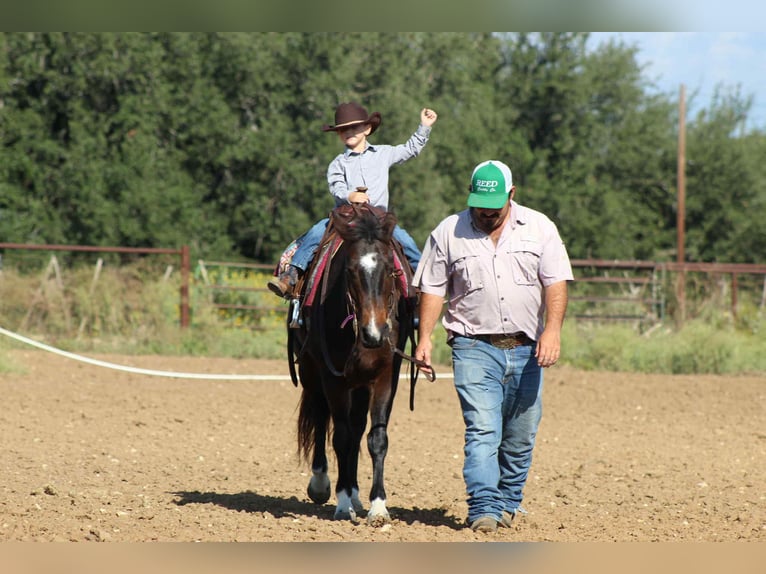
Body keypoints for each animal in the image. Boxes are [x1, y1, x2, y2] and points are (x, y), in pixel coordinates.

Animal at [286, 203, 416, 526]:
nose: (374, 333)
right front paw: (343, 503)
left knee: (357, 428)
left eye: (391, 270)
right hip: (311, 373)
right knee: (322, 419)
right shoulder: (333, 378)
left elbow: (376, 438)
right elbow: (341, 437)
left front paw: (378, 506)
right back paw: (322, 485)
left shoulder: (385, 376)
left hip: (360, 384)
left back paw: (357, 495)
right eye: (349, 271)